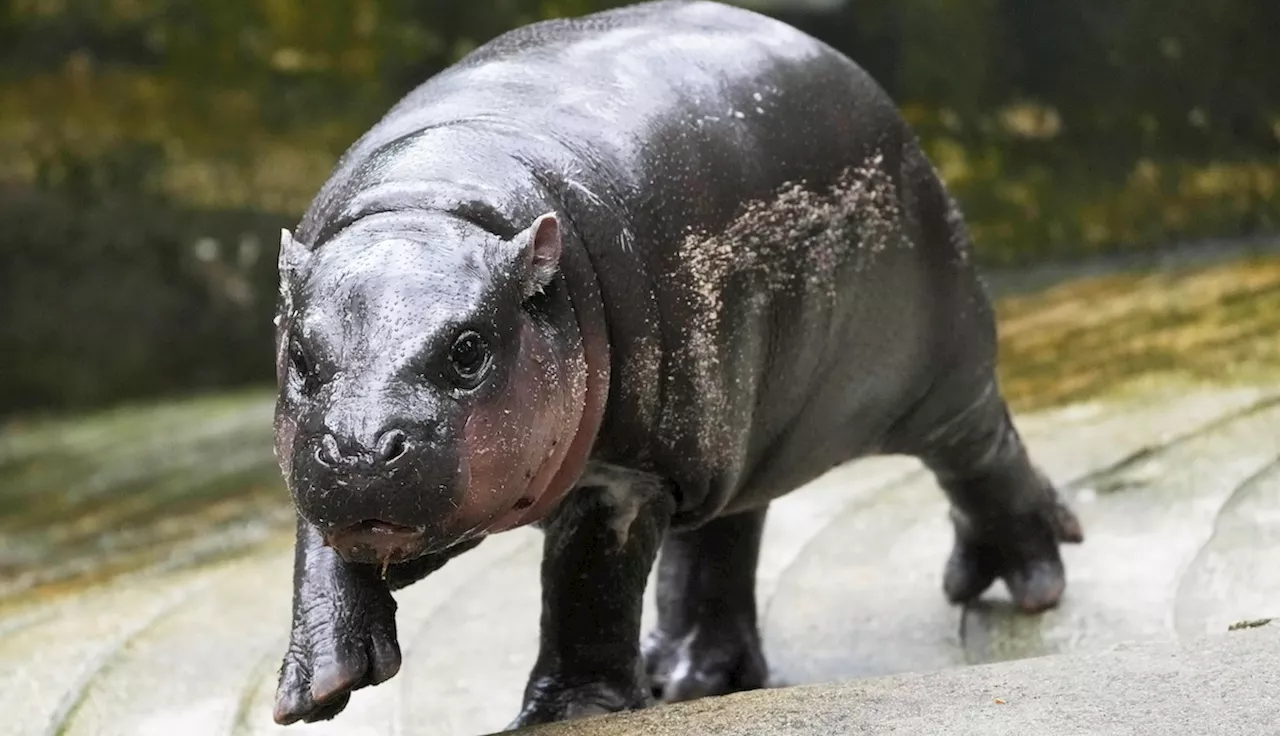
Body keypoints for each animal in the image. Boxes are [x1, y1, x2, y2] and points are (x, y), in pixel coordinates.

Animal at [267, 0, 1080, 727]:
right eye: (299, 354)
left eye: (469, 351)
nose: (361, 450)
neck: (434, 203)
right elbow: (319, 548)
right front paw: (319, 686)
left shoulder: (632, 471)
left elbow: (588, 586)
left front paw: (566, 713)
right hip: (736, 432)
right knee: (721, 539)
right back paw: (689, 675)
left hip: (935, 373)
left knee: (982, 452)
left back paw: (1025, 581)